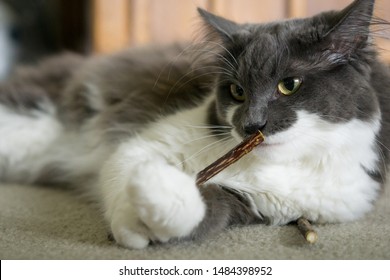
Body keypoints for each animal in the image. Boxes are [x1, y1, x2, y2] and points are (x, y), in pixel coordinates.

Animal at [0, 0, 390, 249]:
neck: (276, 165)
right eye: (236, 91)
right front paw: (133, 218)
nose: (250, 125)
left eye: (289, 85)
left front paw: (152, 203)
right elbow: (125, 172)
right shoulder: (147, 142)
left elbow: (201, 210)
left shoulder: (256, 204)